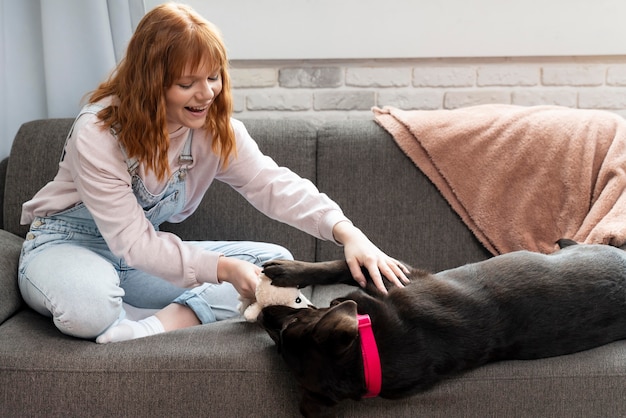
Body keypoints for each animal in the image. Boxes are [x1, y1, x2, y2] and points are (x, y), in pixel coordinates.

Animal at [258, 240, 626, 416]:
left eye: (291, 323)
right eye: (278, 342)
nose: (263, 317)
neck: (369, 354)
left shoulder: (398, 275)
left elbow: (343, 265)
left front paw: (288, 270)